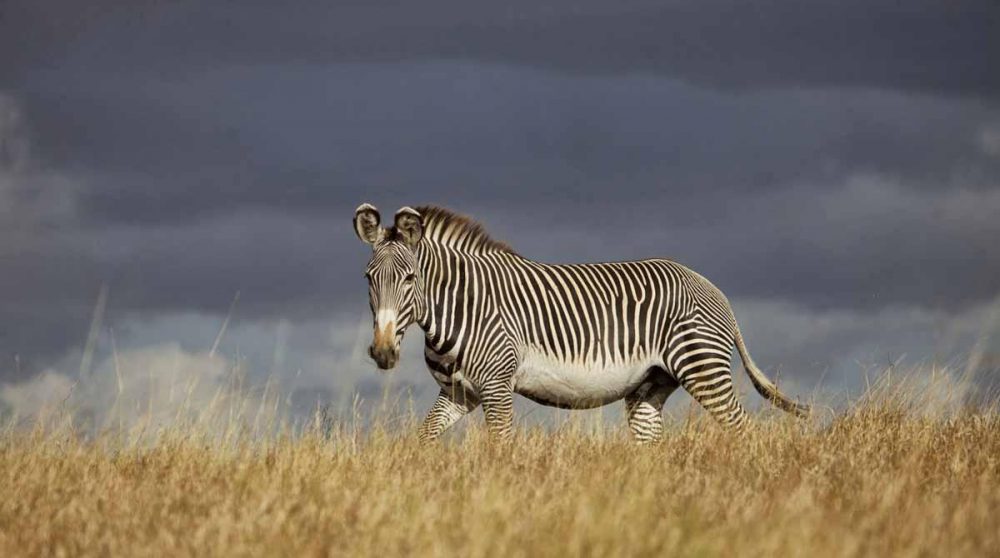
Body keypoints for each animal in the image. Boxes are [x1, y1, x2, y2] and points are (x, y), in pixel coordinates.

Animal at [354, 203, 809, 443]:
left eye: (410, 279)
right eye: (368, 278)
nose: (383, 352)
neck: (457, 306)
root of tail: (713, 289)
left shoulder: (497, 388)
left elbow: (500, 448)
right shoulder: (458, 392)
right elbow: (425, 437)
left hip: (704, 370)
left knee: (743, 429)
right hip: (650, 386)